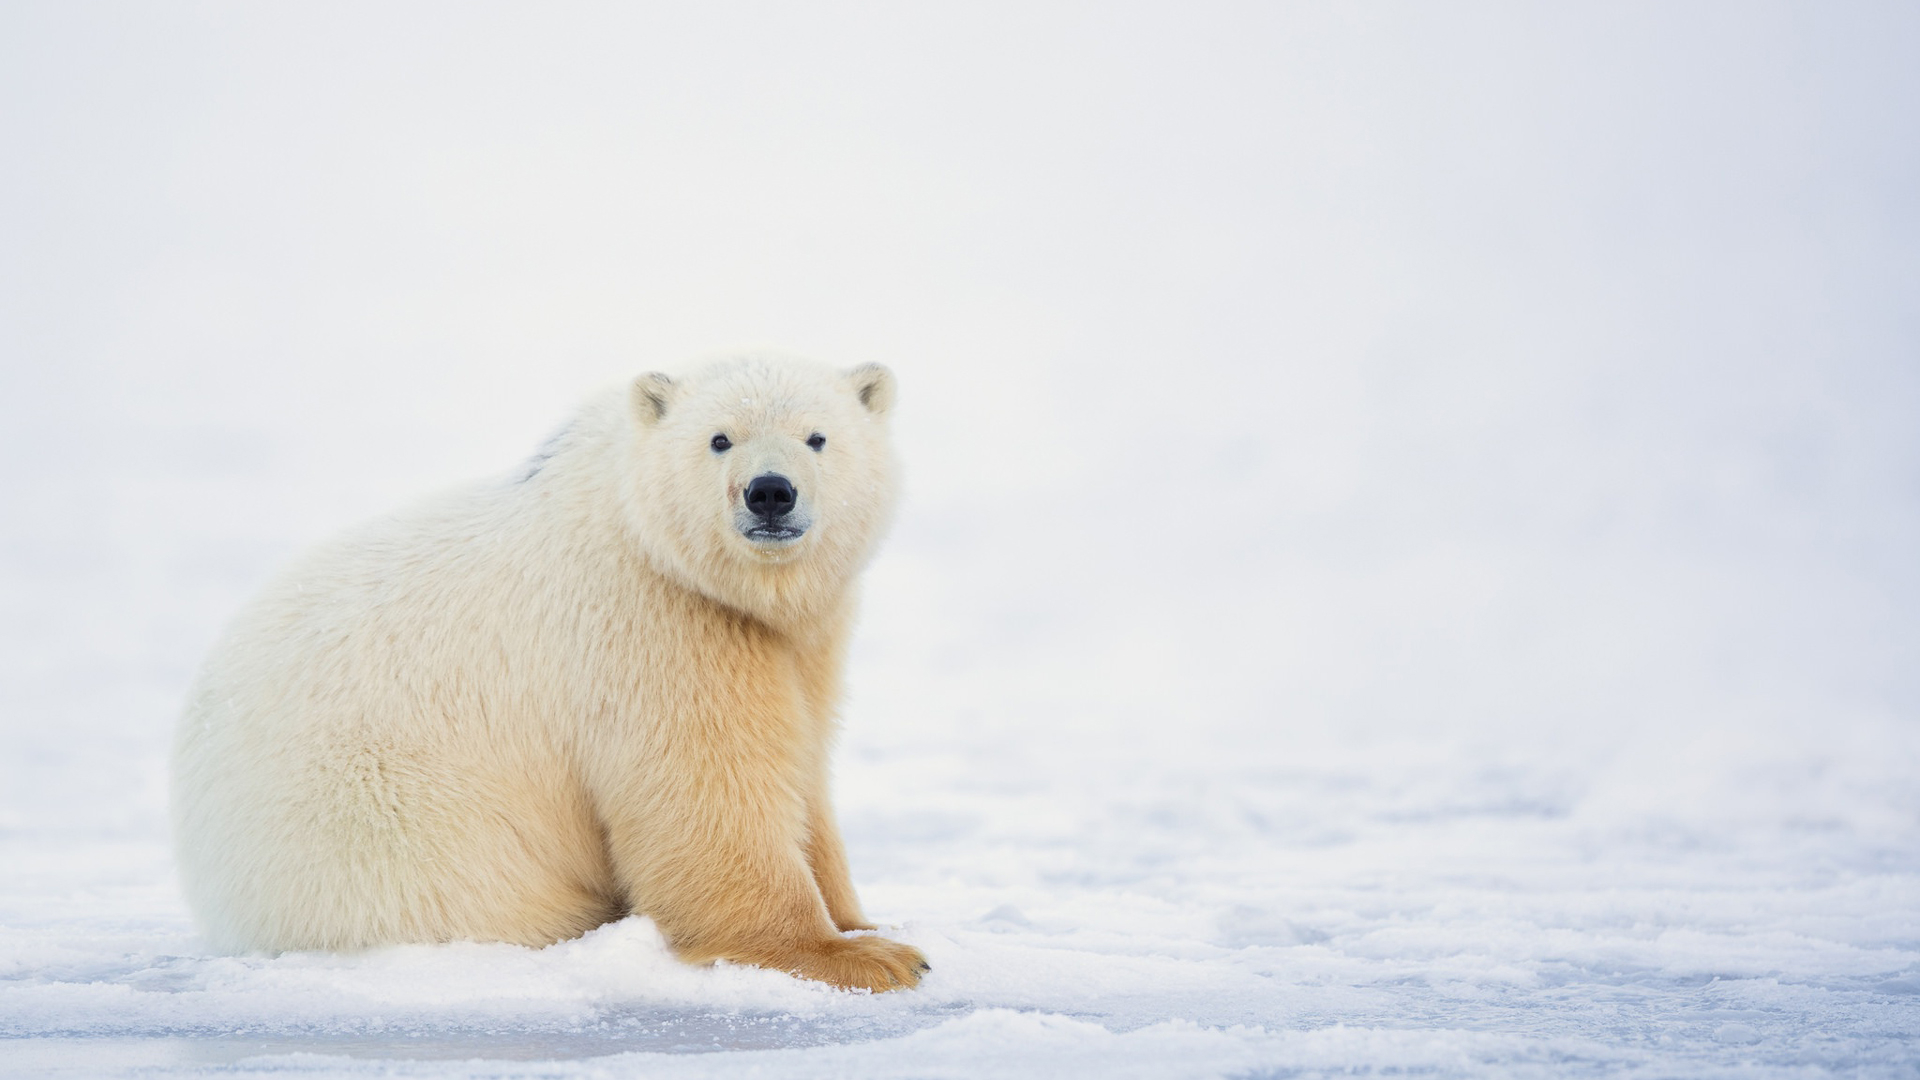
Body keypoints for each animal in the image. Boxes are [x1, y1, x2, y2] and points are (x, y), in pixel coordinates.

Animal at [174, 351, 929, 983]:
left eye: (817, 437)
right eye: (720, 438)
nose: (770, 492)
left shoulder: (797, 642)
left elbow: (802, 766)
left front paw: (864, 919)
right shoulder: (651, 625)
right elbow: (709, 789)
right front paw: (865, 956)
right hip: (384, 824)